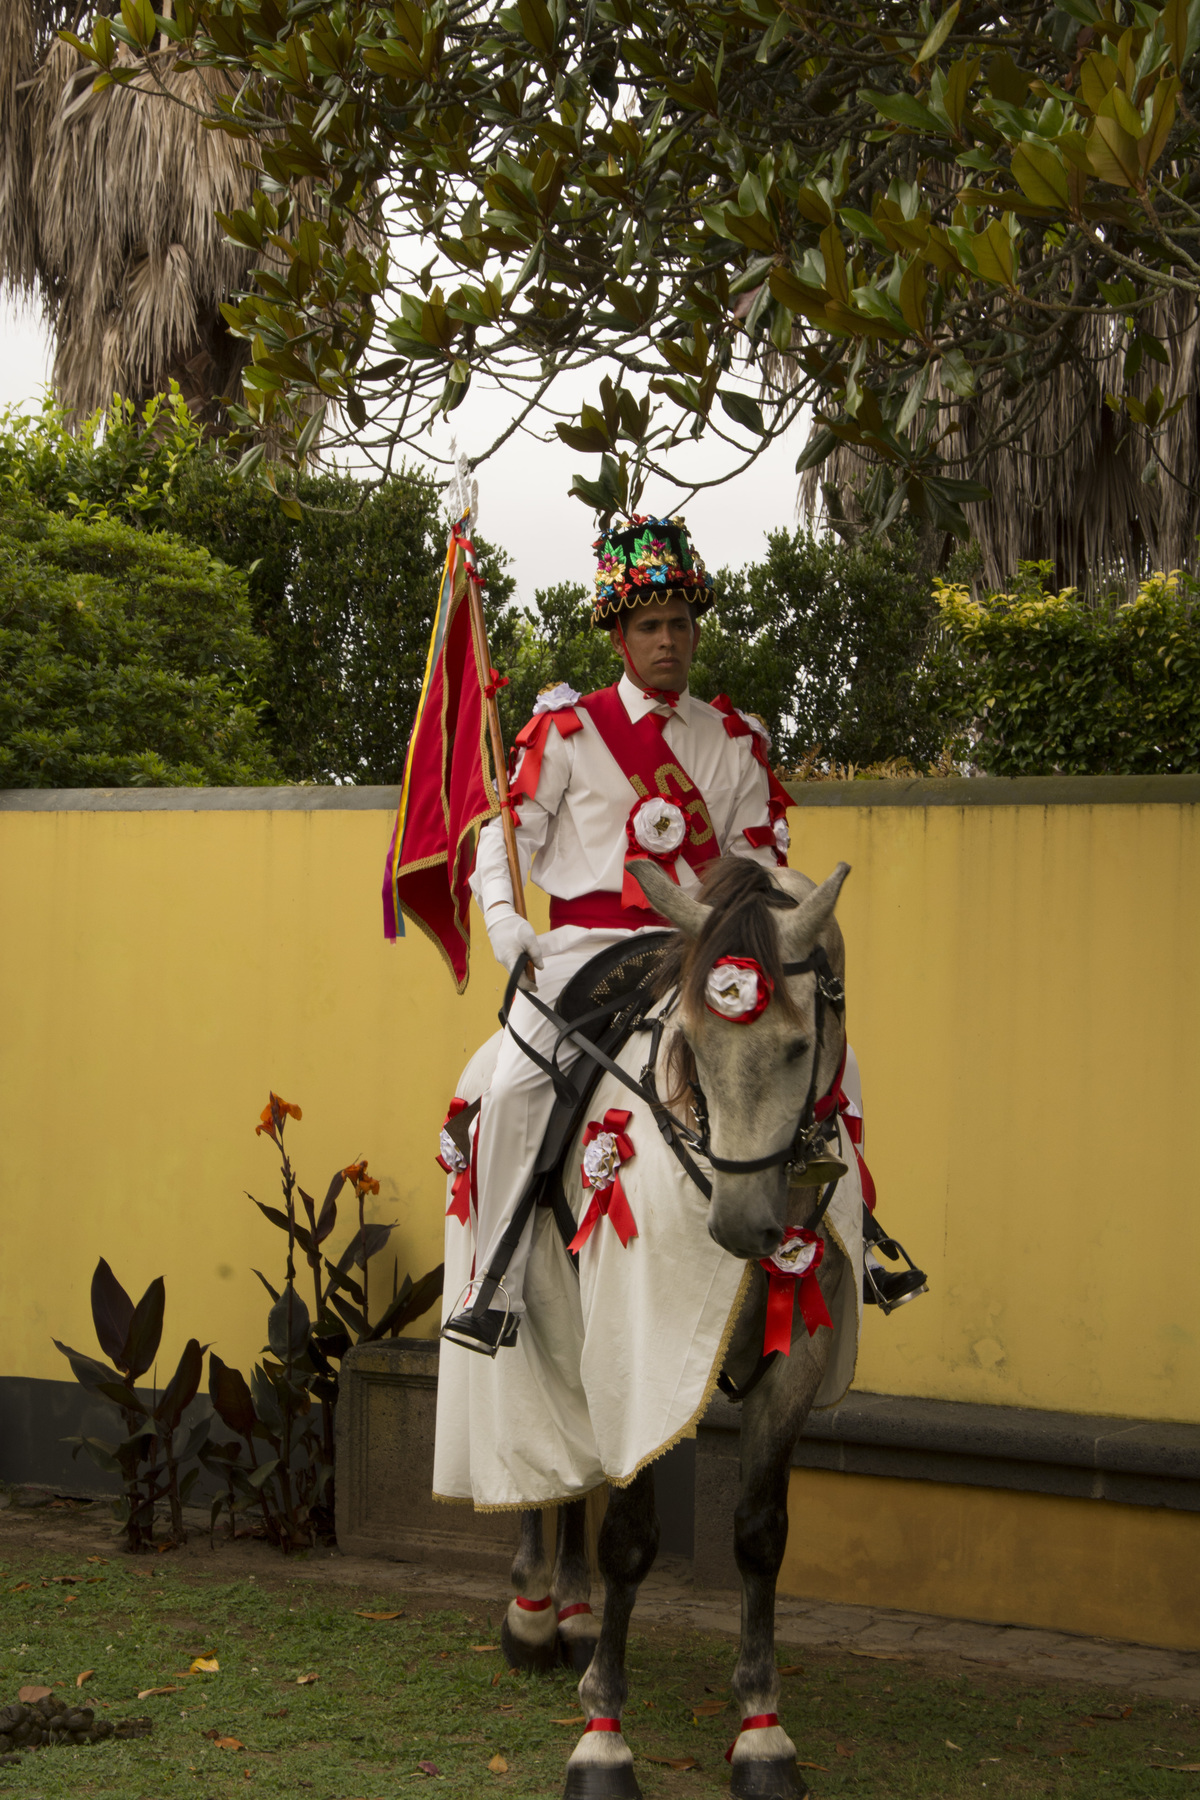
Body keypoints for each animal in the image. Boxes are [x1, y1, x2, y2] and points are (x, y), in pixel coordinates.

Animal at [435, 855, 859, 1800]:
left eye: (798, 1047)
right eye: (692, 1044)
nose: (742, 1227)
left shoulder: (797, 1362)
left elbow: (759, 1533)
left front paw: (762, 1732)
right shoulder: (643, 1344)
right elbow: (631, 1537)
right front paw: (603, 1741)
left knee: (574, 1466)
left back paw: (575, 1616)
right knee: (533, 1460)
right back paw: (533, 1613)